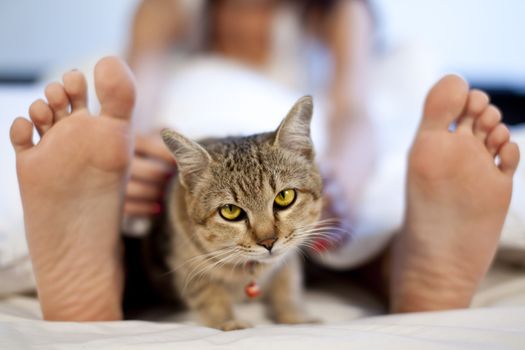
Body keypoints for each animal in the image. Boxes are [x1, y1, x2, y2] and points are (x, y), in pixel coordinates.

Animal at [161, 95, 324, 330]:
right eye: (230, 211)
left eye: (285, 197)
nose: (268, 242)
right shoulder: (185, 264)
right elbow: (209, 294)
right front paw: (229, 322)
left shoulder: (288, 260)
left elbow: (287, 285)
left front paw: (295, 317)